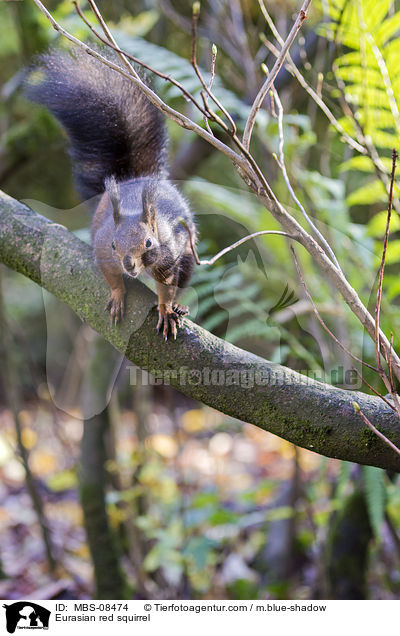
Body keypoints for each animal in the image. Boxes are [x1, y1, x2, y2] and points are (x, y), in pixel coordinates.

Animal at [25, 47, 197, 340]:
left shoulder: (169, 254)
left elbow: (167, 284)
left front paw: (165, 308)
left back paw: (178, 305)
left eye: (149, 243)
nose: (129, 265)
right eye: (115, 244)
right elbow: (110, 275)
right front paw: (117, 295)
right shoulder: (103, 248)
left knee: (183, 279)